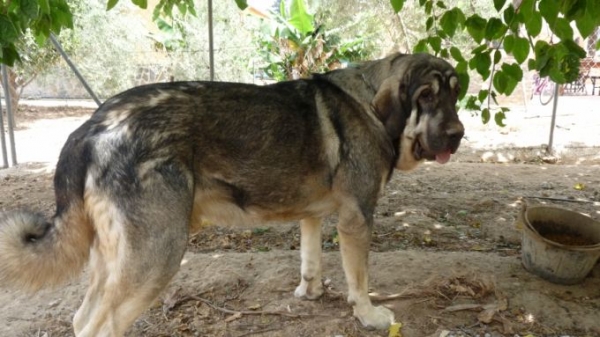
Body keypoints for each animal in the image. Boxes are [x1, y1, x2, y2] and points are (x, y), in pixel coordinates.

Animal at [0, 51, 464, 334]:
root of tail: (93, 125)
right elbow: (360, 279)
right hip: (156, 255)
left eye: (455, 93)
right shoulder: (356, 219)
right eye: (426, 96)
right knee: (102, 324)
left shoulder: (312, 216)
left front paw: (310, 293)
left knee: (81, 319)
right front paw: (367, 314)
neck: (369, 102)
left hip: (112, 259)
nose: (458, 135)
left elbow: (310, 261)